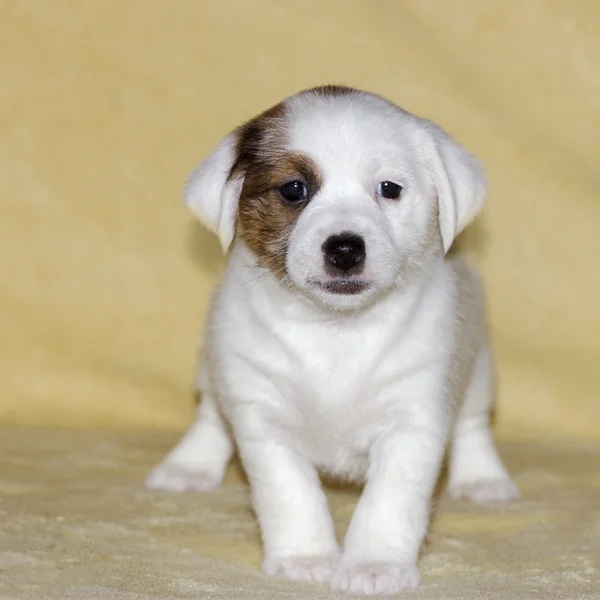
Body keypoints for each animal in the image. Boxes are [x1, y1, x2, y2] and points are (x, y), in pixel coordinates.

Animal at [146, 85, 520, 596]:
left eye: (389, 189)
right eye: (294, 190)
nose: (345, 248)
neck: (335, 330)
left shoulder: (412, 421)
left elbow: (389, 501)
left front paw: (374, 565)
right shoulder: (263, 420)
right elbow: (291, 495)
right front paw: (304, 557)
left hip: (478, 367)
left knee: (473, 424)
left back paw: (483, 478)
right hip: (212, 364)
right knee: (209, 414)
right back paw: (189, 465)